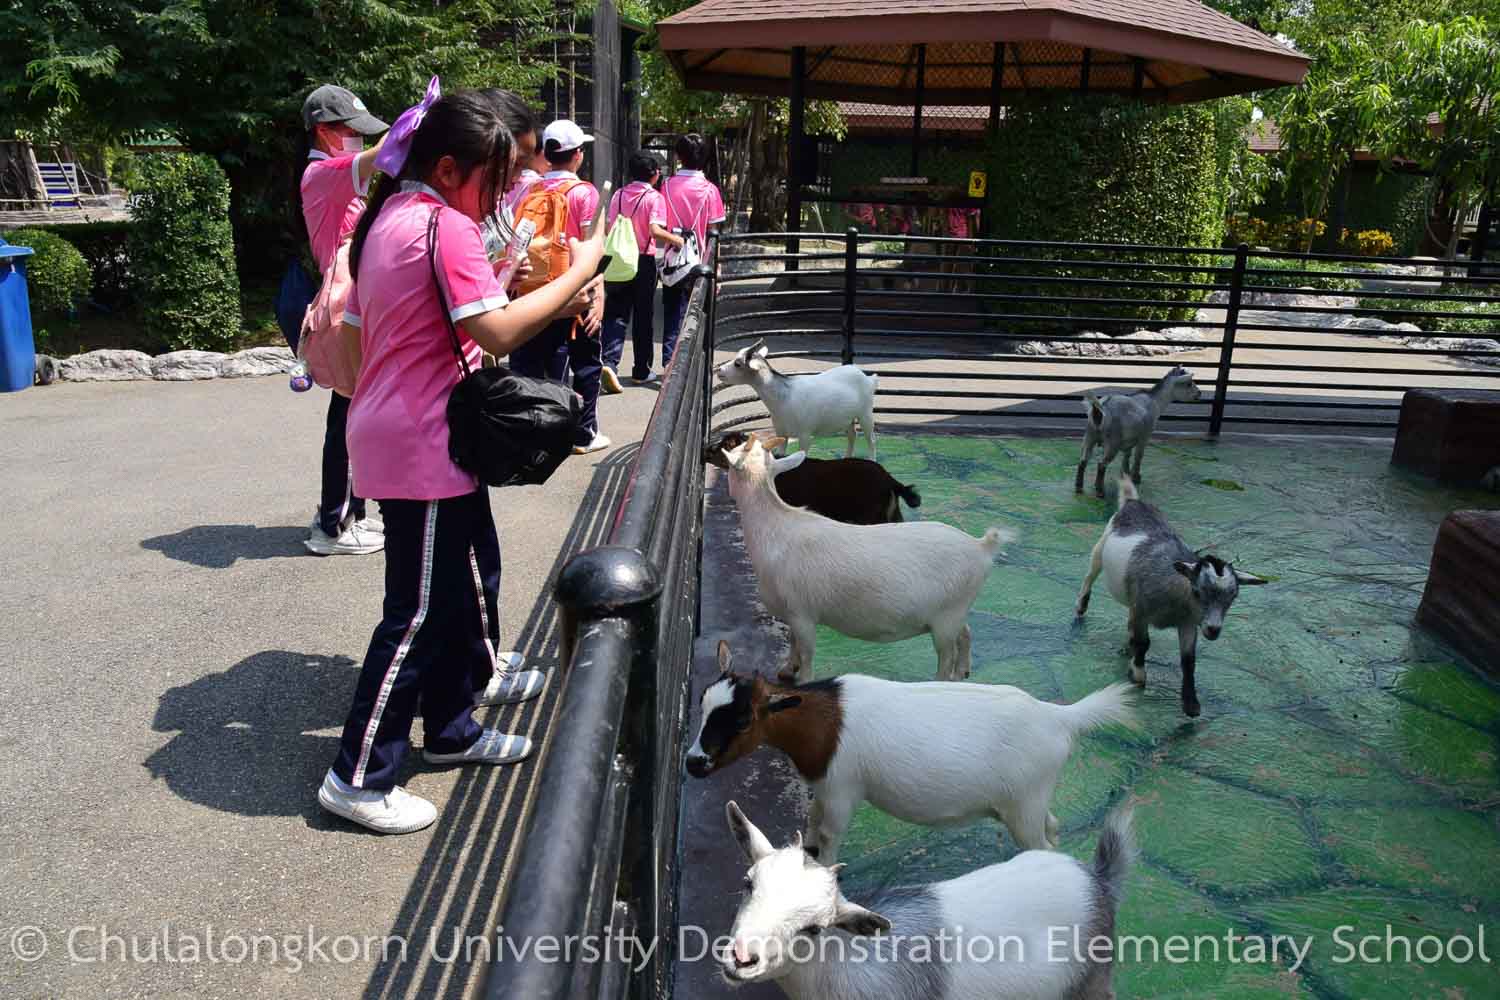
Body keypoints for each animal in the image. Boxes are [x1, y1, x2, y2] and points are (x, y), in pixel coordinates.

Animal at [688, 640, 1136, 863]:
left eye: (743, 720)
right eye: (702, 703)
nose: (693, 762)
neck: (824, 722)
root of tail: (1060, 717)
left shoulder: (842, 790)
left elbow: (828, 838)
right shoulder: (824, 787)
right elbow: (812, 825)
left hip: (1023, 805)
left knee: (1042, 846)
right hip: (1029, 801)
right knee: (1053, 828)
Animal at [716, 339, 878, 459]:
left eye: (738, 363)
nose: (719, 370)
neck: (784, 398)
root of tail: (868, 378)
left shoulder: (805, 435)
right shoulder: (781, 433)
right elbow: (781, 455)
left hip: (865, 414)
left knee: (871, 440)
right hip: (847, 419)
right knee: (852, 435)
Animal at [720, 799, 1135, 1000]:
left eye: (814, 928)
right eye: (748, 883)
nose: (742, 958)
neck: (846, 966)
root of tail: (1098, 879)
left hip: (1091, 981)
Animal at [1074, 365, 1202, 497]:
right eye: (1188, 383)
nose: (1199, 393)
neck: (1155, 401)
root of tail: (1101, 409)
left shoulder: (1129, 439)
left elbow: (1127, 455)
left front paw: (1126, 474)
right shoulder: (1144, 436)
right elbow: (1138, 456)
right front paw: (1136, 478)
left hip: (1089, 435)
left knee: (1082, 461)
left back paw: (1079, 488)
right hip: (1112, 442)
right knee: (1101, 465)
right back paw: (1100, 491)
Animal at [1075, 475, 1267, 717]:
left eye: (1232, 597)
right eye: (1197, 591)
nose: (1213, 630)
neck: (1177, 598)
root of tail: (1134, 502)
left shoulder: (1187, 624)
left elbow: (1188, 660)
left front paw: (1191, 704)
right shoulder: (1142, 611)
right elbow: (1144, 642)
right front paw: (1138, 674)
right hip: (1100, 549)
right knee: (1090, 574)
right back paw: (1081, 606)